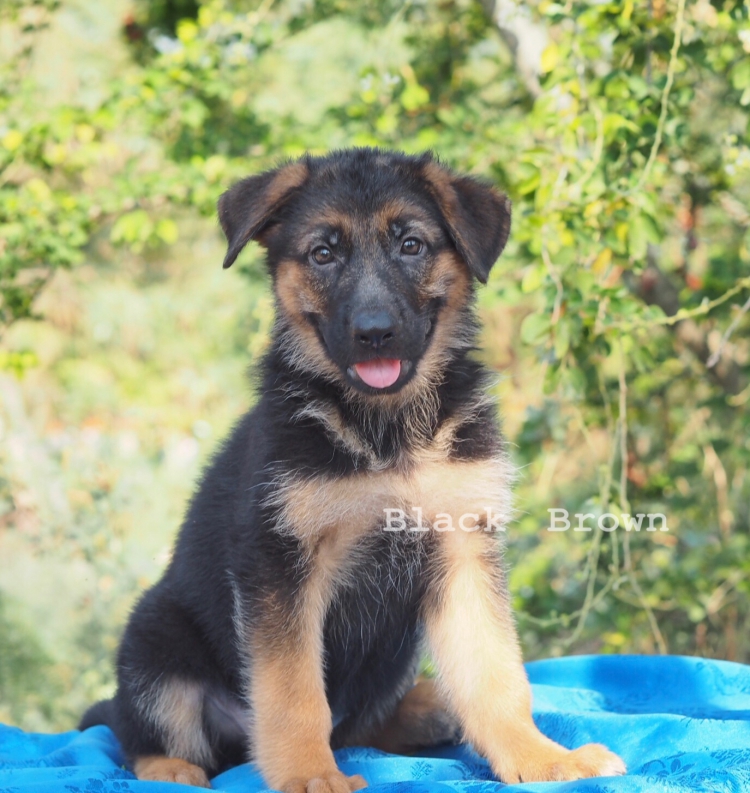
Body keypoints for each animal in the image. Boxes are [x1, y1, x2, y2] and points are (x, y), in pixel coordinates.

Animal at [80, 148, 626, 790]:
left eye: (411, 245)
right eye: (323, 253)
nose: (374, 333)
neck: (387, 431)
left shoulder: (463, 548)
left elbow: (497, 674)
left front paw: (541, 758)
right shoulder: (280, 565)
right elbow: (293, 692)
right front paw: (310, 775)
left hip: (390, 658)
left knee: (366, 723)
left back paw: (428, 709)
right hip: (154, 641)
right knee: (134, 732)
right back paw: (172, 770)